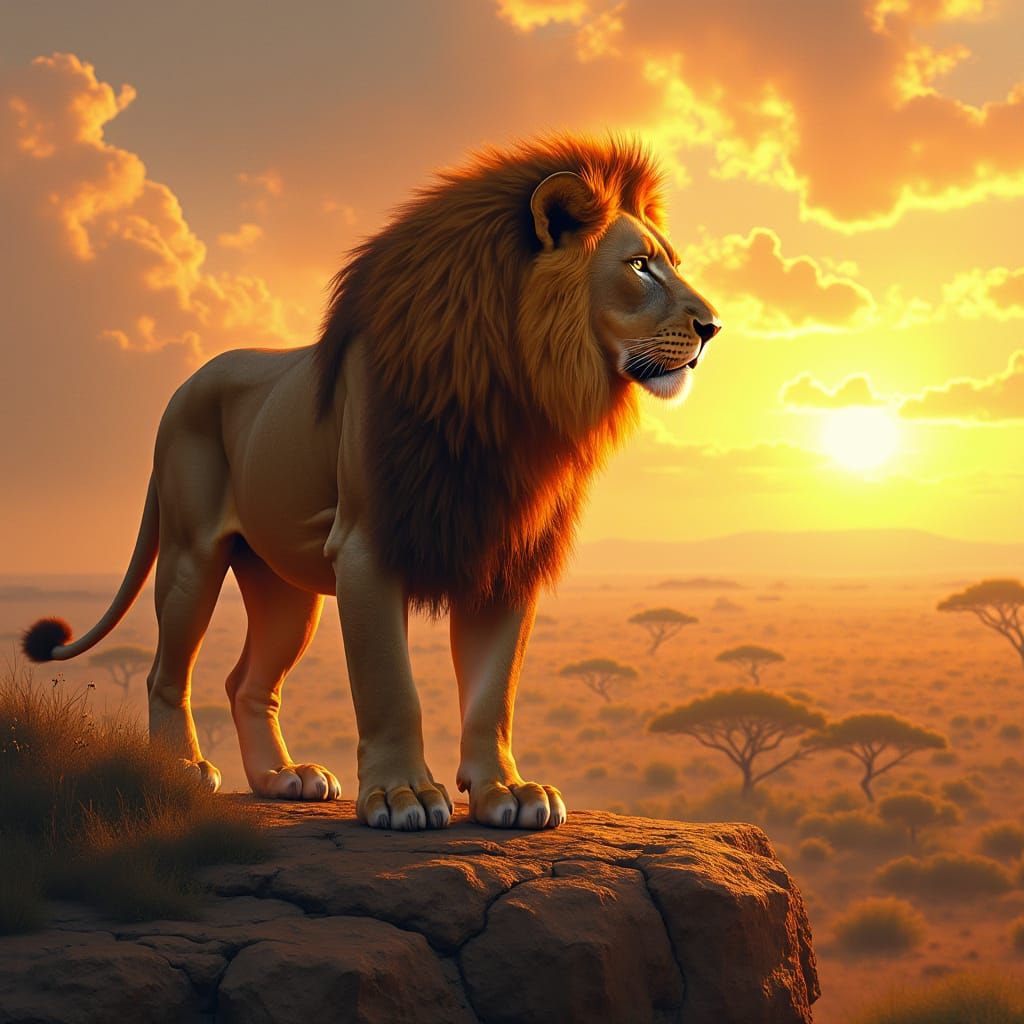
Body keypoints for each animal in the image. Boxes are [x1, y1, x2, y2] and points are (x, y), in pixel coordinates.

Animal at [23, 134, 720, 831]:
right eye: (639, 267)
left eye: (670, 264)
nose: (714, 327)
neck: (513, 395)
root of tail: (185, 384)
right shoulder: (367, 545)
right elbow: (390, 686)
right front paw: (402, 794)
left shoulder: (506, 550)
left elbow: (494, 692)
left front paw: (509, 791)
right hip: (191, 553)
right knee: (165, 671)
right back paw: (182, 767)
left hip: (284, 586)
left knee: (248, 682)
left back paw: (283, 777)